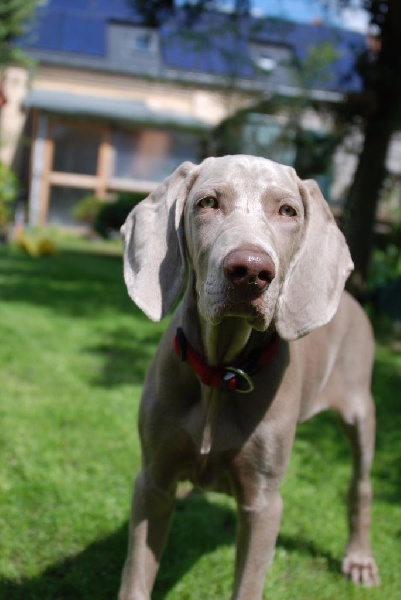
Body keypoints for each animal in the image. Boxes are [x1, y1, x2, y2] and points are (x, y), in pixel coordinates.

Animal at [117, 156, 376, 600]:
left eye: (288, 211)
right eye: (207, 202)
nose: (250, 271)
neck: (222, 373)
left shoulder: (264, 502)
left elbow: (248, 582)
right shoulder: (152, 481)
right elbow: (136, 577)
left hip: (361, 410)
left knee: (360, 485)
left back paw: (358, 558)